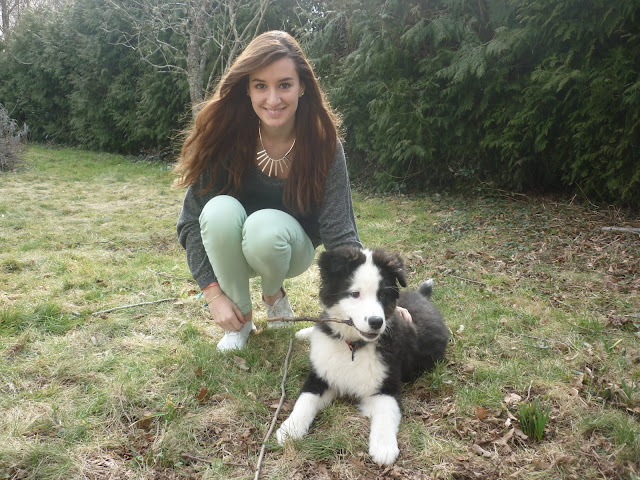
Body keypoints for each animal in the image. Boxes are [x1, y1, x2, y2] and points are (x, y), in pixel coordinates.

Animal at [276, 246, 449, 465]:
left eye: (382, 294)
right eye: (354, 294)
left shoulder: (386, 386)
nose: (376, 322)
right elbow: (305, 400)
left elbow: (386, 413)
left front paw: (384, 447)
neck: (353, 347)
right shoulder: (321, 375)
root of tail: (422, 296)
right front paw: (290, 428)